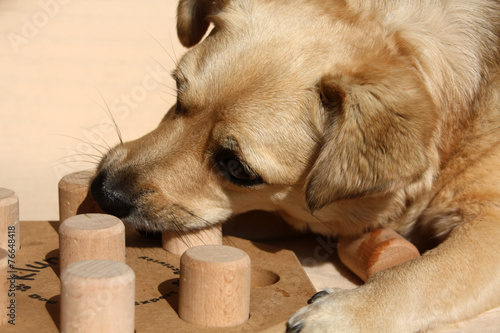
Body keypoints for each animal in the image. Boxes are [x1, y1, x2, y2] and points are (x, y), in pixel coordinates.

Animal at [90, 0, 500, 330]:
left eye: (238, 169)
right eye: (177, 92)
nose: (103, 192)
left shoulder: (489, 225)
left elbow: (424, 275)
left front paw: (343, 314)